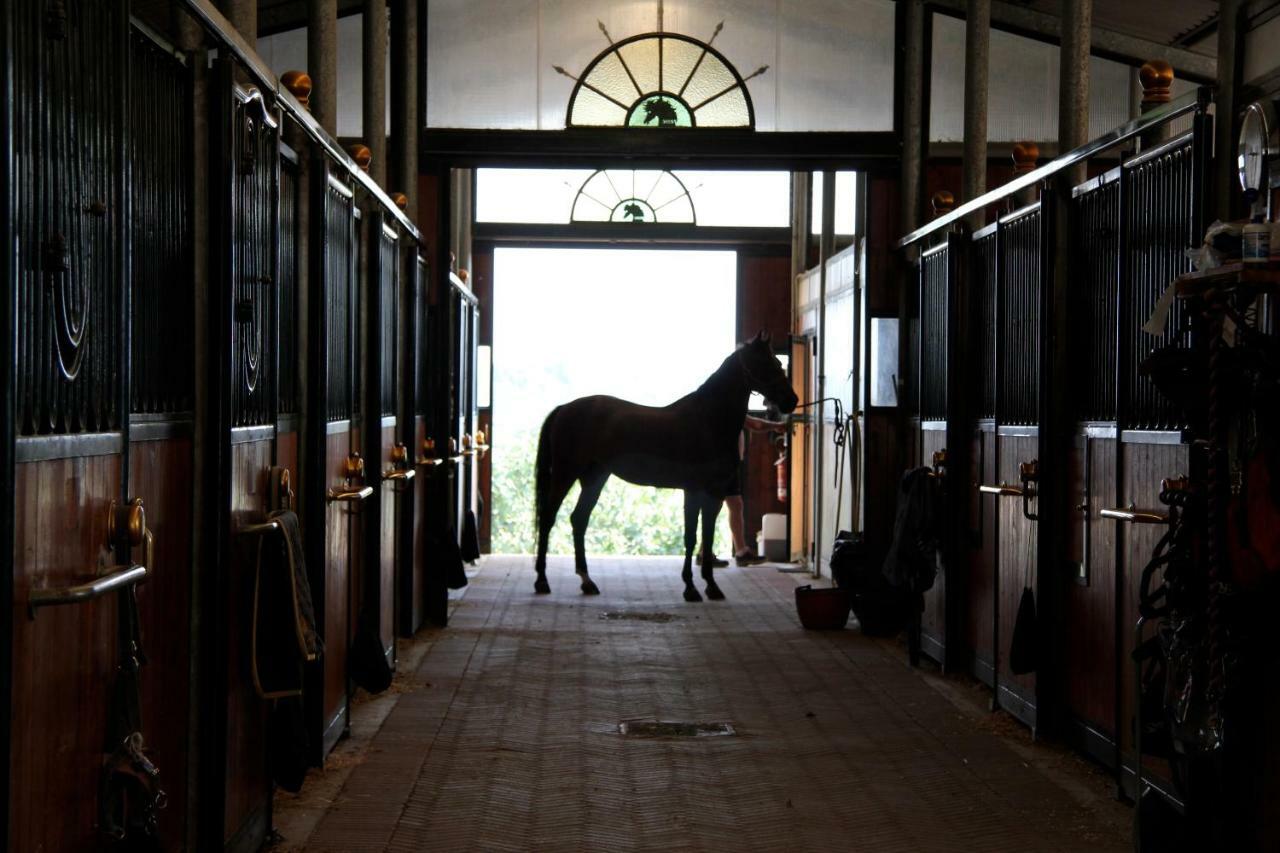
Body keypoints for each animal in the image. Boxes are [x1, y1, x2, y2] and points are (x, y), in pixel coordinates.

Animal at [532, 327, 798, 601]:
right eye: (764, 364)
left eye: (778, 363)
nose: (791, 400)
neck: (708, 420)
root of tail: (565, 408)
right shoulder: (694, 490)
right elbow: (691, 537)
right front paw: (691, 588)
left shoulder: (714, 493)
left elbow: (707, 536)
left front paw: (711, 587)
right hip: (565, 474)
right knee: (548, 518)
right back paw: (542, 581)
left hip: (595, 478)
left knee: (579, 520)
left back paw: (587, 582)